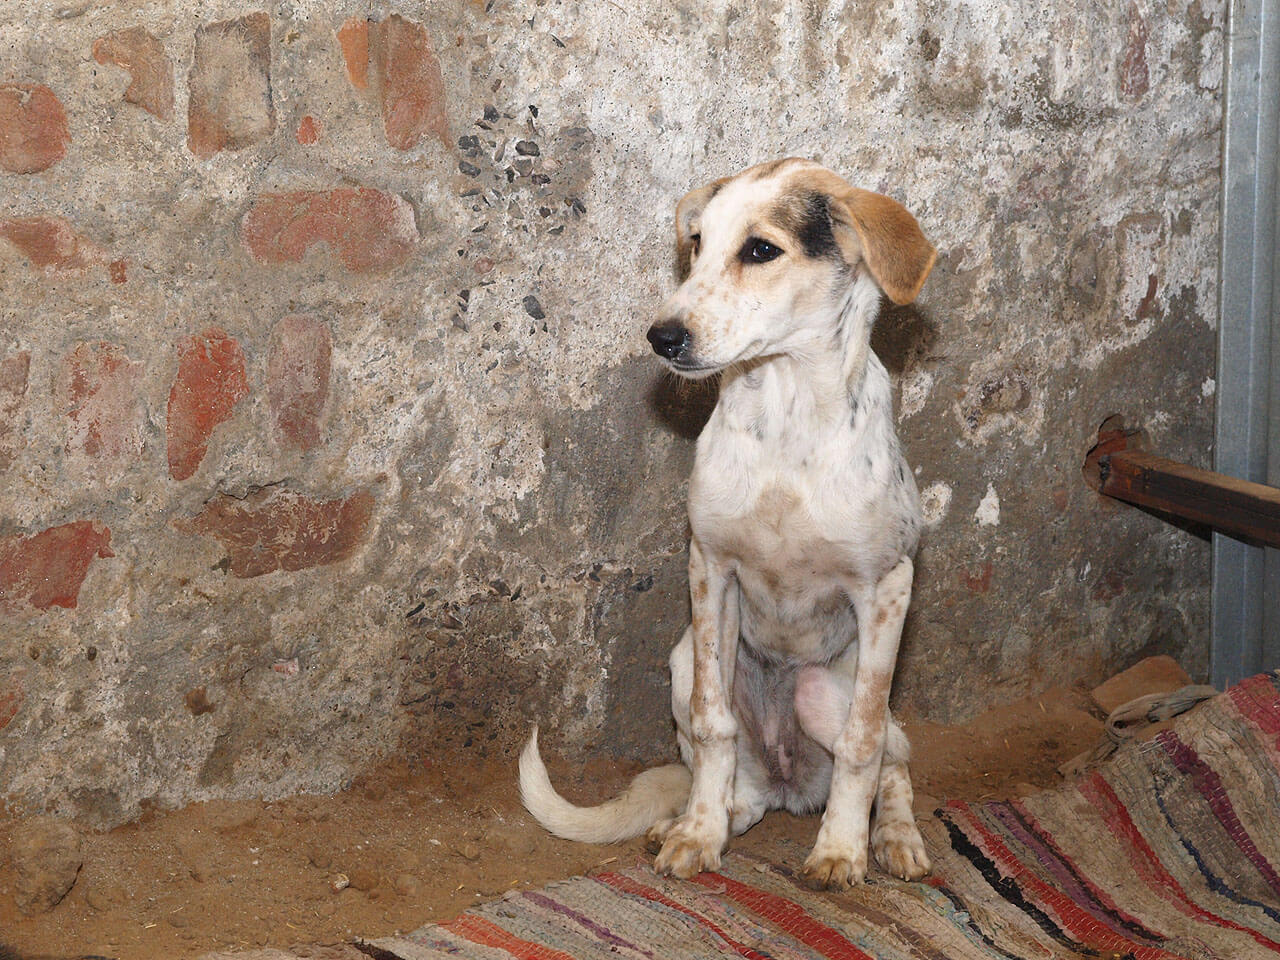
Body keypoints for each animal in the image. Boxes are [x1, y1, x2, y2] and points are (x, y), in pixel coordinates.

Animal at [520, 157, 936, 890]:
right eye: (696, 245)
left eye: (761, 250)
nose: (661, 337)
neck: (786, 411)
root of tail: (792, 787)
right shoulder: (710, 568)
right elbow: (714, 727)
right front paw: (699, 834)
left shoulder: (888, 587)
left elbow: (862, 745)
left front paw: (841, 850)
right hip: (685, 660)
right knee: (741, 780)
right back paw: (704, 816)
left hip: (826, 692)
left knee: (892, 759)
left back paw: (893, 836)